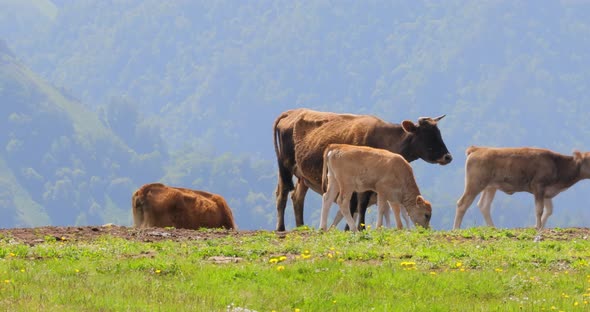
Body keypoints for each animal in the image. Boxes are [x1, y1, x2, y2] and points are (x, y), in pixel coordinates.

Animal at [272, 108, 454, 230]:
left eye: (438, 133)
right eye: (428, 135)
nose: (448, 157)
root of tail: (291, 113)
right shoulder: (365, 185)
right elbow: (359, 205)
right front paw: (357, 227)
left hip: (304, 177)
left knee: (298, 197)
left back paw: (301, 226)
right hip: (285, 167)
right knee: (282, 195)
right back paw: (281, 228)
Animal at [458, 146, 590, 229]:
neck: (557, 165)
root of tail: (478, 148)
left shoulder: (547, 192)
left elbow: (549, 210)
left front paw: (541, 226)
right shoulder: (538, 187)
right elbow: (539, 210)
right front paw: (537, 226)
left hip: (490, 187)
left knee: (484, 206)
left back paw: (492, 227)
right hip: (474, 185)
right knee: (462, 204)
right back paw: (456, 228)